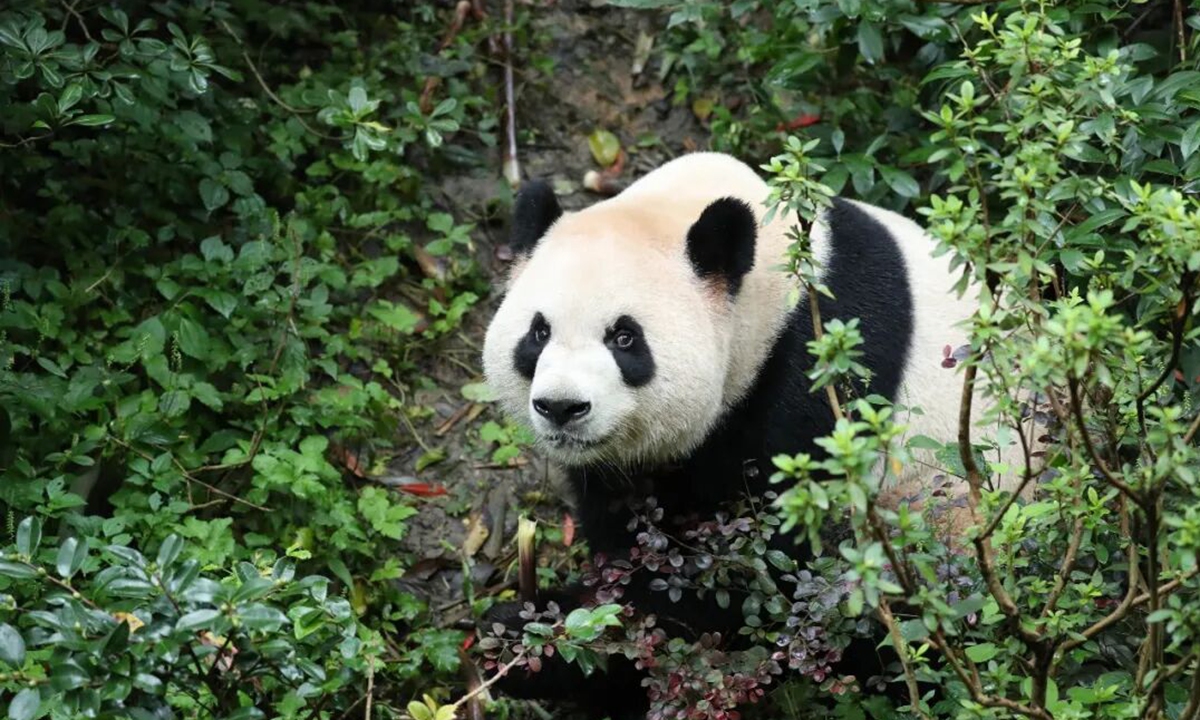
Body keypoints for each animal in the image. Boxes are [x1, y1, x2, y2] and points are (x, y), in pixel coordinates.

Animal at [480, 152, 1020, 717]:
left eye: (624, 338)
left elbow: (749, 578)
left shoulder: (817, 379)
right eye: (538, 333)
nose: (561, 407)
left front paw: (545, 641)